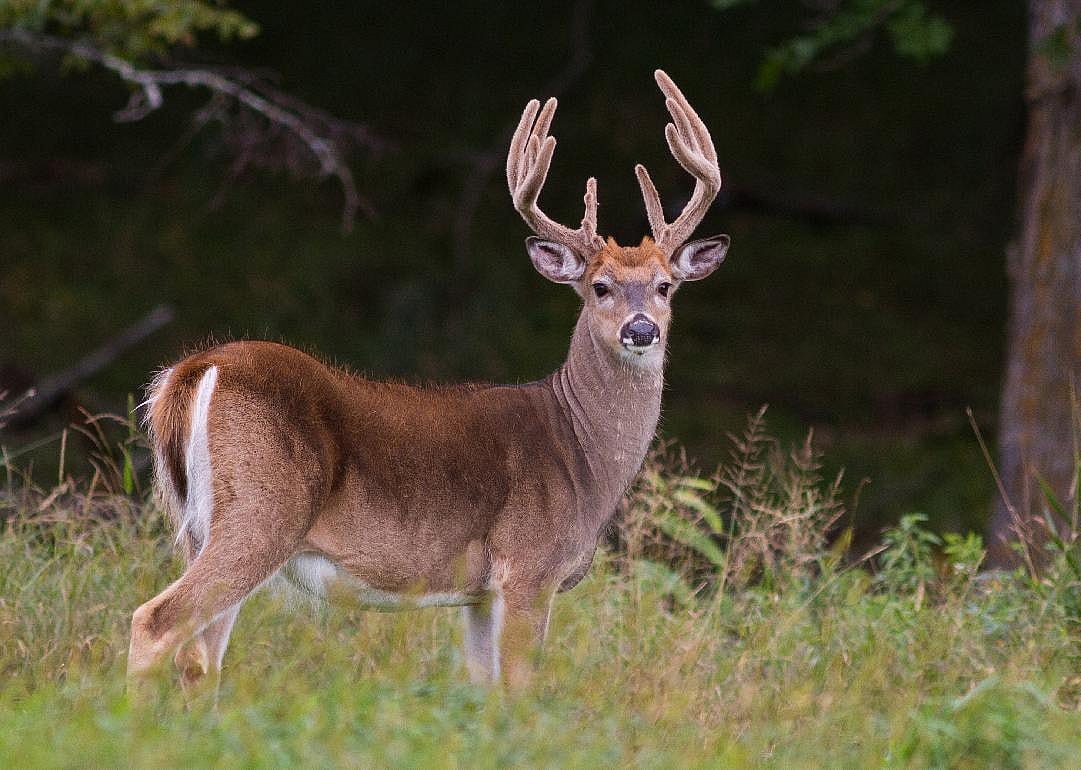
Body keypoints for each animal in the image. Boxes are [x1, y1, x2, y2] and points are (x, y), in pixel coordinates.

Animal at [129, 70, 730, 694]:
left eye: (665, 286)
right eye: (600, 286)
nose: (641, 329)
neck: (581, 455)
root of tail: (195, 370)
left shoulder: (479, 593)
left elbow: (484, 692)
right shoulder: (528, 567)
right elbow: (520, 692)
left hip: (199, 524)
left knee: (199, 659)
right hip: (262, 509)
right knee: (155, 622)